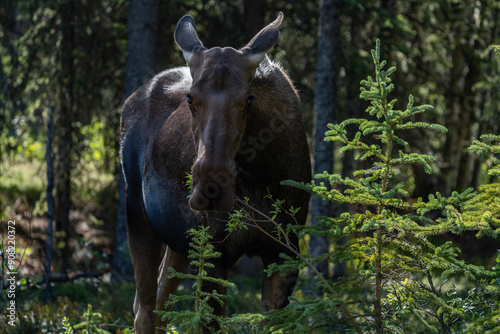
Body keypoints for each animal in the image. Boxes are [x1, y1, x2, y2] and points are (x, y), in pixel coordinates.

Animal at [119, 12, 310, 332]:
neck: (259, 178)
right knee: (143, 310)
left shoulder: (284, 252)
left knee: (158, 303)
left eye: (248, 98)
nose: (210, 186)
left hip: (180, 241)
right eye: (190, 98)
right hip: (137, 211)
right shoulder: (216, 251)